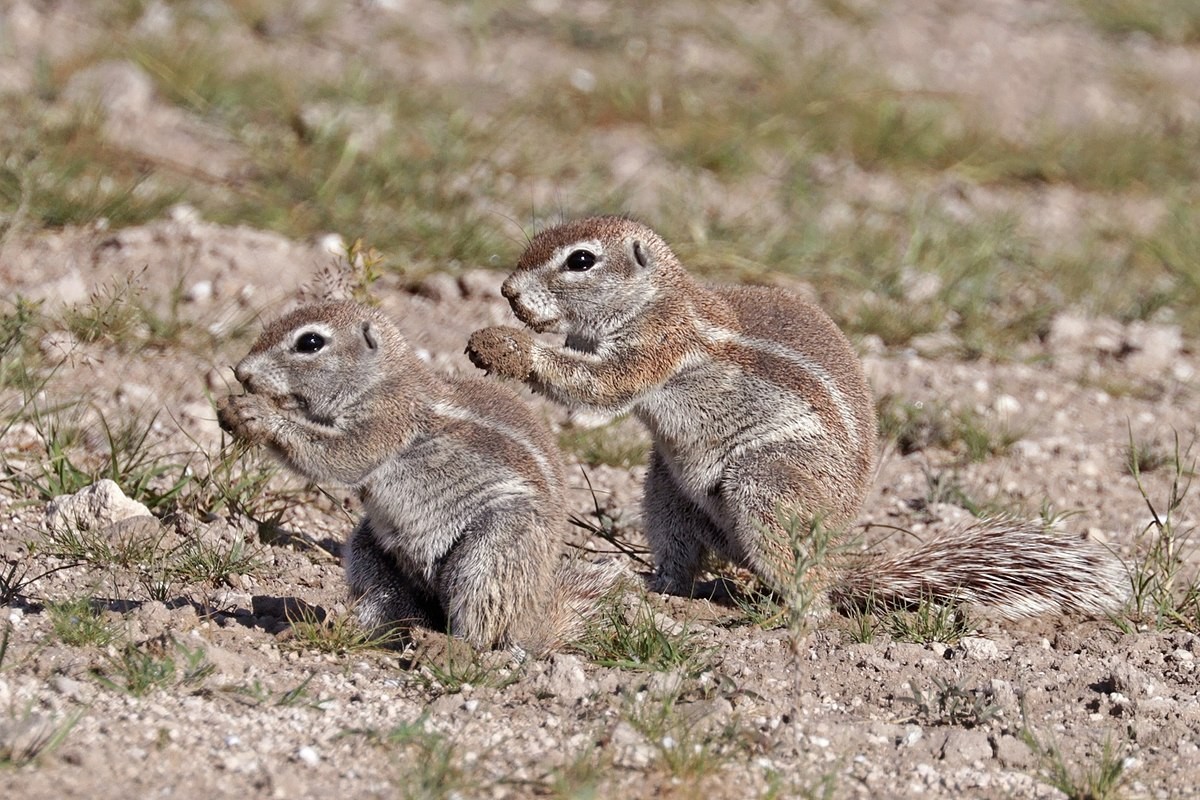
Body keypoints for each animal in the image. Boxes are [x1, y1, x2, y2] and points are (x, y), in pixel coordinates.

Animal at [213, 303, 619, 652]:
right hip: (368, 549)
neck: (382, 380)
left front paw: (257, 415)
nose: (241, 372)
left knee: (483, 629)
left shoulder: (386, 422)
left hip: (496, 548)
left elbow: (340, 456)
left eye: (309, 342)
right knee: (392, 607)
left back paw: (450, 647)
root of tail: (531, 621)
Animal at [465, 215, 1123, 618]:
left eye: (580, 260)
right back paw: (649, 586)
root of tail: (834, 557)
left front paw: (502, 346)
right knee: (683, 559)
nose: (507, 291)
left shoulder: (658, 345)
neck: (657, 298)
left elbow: (600, 388)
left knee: (812, 591)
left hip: (767, 480)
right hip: (663, 491)